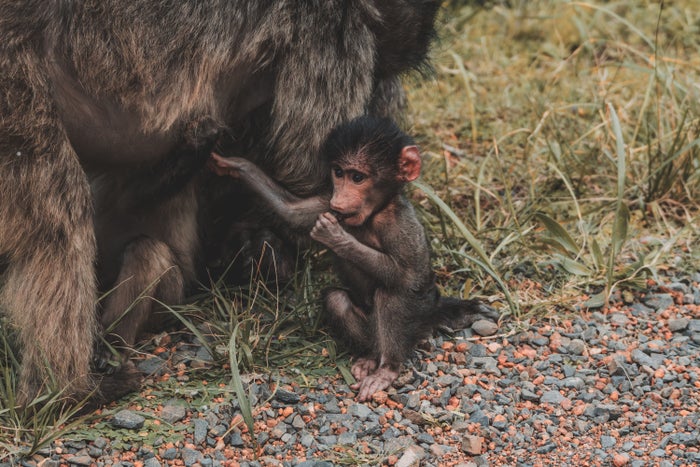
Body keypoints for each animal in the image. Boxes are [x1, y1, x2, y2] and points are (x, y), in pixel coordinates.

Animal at [0, 0, 441, 405]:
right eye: (380, 59)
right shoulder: (330, 28)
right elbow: (302, 168)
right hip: (13, 82)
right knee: (59, 225)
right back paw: (67, 393)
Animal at [210, 116, 499, 401]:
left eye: (358, 177)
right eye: (339, 173)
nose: (341, 197)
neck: (370, 216)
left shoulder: (397, 223)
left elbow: (406, 275)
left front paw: (335, 236)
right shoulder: (326, 202)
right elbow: (290, 211)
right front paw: (235, 165)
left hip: (420, 314)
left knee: (390, 295)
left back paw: (387, 369)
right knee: (337, 300)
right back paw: (371, 357)